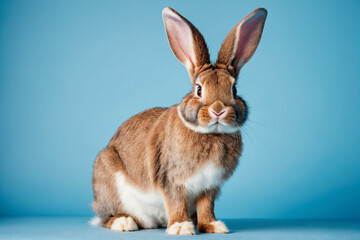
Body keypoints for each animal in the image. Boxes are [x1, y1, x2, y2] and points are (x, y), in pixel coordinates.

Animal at [92, 7, 268, 234]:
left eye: (234, 89)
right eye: (199, 89)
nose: (218, 110)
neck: (212, 133)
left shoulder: (209, 187)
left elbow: (206, 206)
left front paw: (213, 225)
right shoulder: (172, 180)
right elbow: (176, 202)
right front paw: (180, 227)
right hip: (109, 183)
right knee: (106, 216)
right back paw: (124, 223)